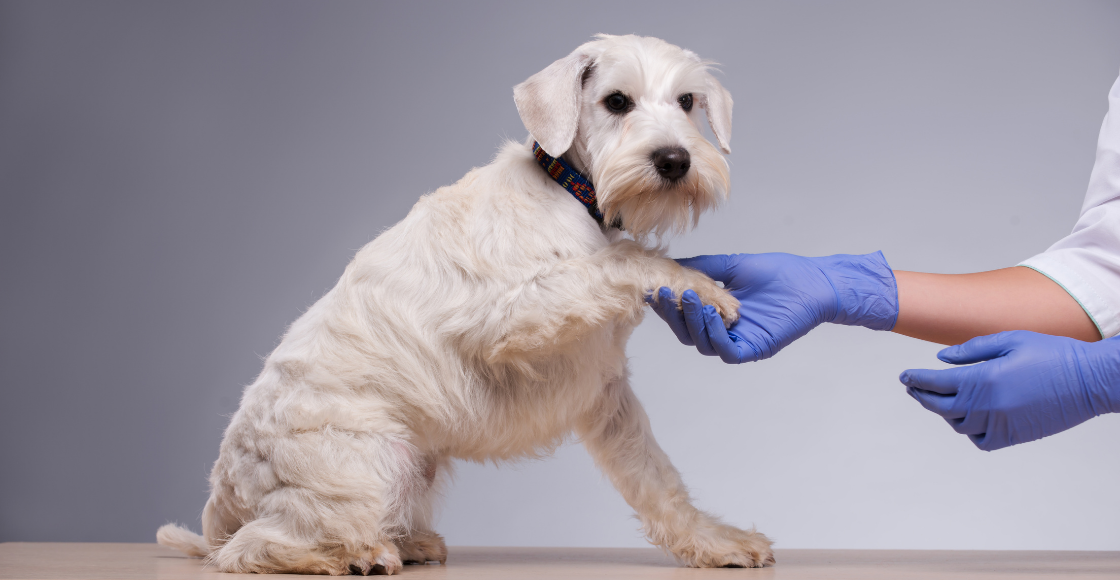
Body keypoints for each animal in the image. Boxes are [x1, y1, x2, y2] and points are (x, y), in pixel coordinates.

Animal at [157, 36, 775, 577]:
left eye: (688, 100)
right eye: (616, 101)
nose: (674, 161)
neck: (571, 193)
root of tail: (222, 498)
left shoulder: (606, 392)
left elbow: (654, 475)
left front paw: (716, 542)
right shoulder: (512, 316)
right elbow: (625, 261)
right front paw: (705, 288)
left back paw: (405, 542)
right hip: (372, 462)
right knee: (251, 548)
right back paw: (352, 555)